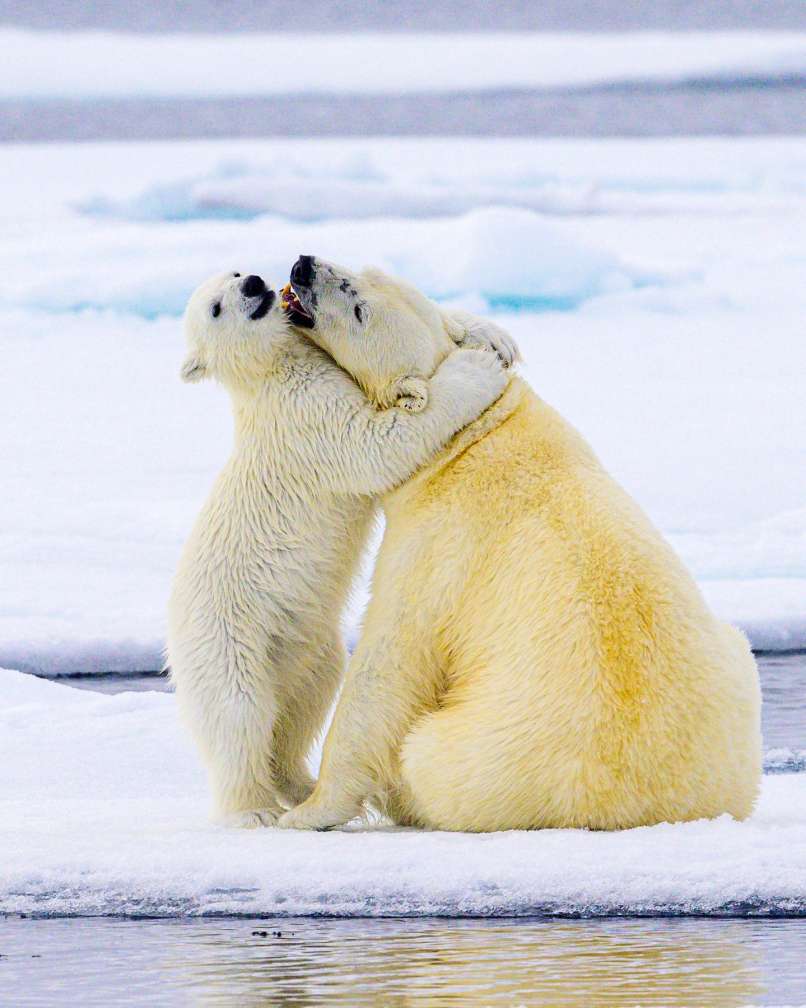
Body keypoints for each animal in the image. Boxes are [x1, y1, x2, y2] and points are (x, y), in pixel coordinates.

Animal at [166, 270, 507, 826]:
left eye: (234, 273)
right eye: (216, 308)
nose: (255, 283)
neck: (273, 371)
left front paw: (493, 336)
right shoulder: (307, 419)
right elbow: (376, 442)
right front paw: (476, 369)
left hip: (303, 645)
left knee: (304, 703)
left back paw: (299, 784)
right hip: (226, 638)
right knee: (238, 715)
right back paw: (253, 810)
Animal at [278, 260, 761, 834]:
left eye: (357, 307)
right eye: (362, 268)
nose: (304, 266)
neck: (472, 439)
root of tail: (645, 806)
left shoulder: (435, 547)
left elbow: (389, 663)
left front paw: (308, 811)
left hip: (477, 756)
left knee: (423, 756)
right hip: (734, 686)